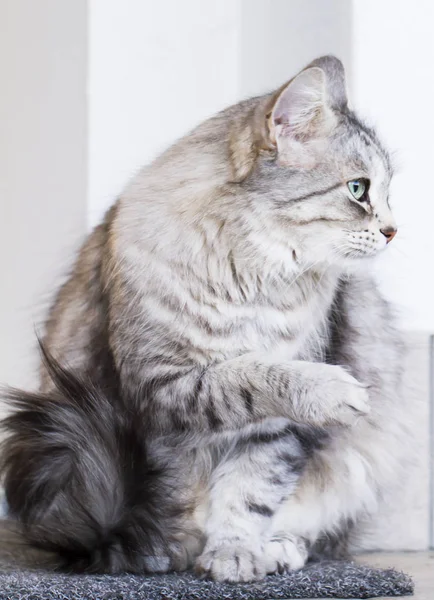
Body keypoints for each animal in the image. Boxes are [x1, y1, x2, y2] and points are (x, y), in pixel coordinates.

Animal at [0, 56, 410, 580]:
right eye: (359, 189)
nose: (394, 231)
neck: (250, 285)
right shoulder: (159, 388)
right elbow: (243, 388)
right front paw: (166, 552)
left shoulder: (274, 428)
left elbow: (249, 492)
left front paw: (234, 555)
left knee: (318, 533)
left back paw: (279, 550)